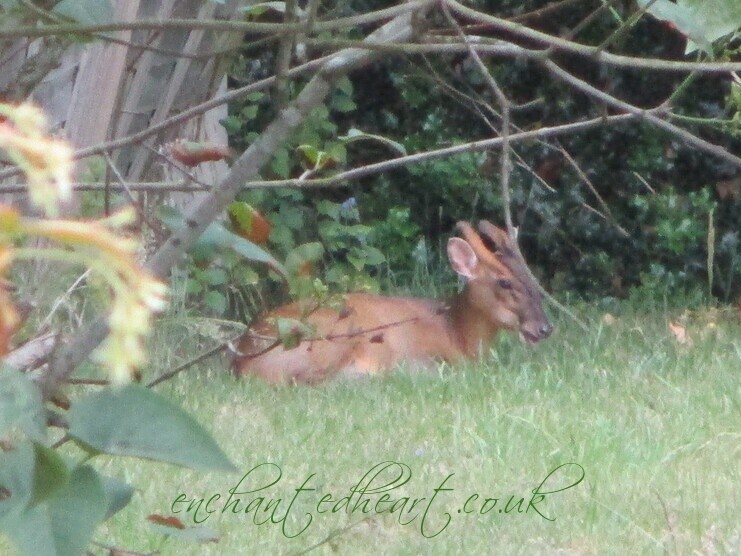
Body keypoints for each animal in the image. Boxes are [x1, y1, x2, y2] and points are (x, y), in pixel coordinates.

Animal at [231, 220, 552, 385]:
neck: (457, 333)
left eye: (532, 278)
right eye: (505, 282)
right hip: (334, 334)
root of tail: (242, 361)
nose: (544, 328)